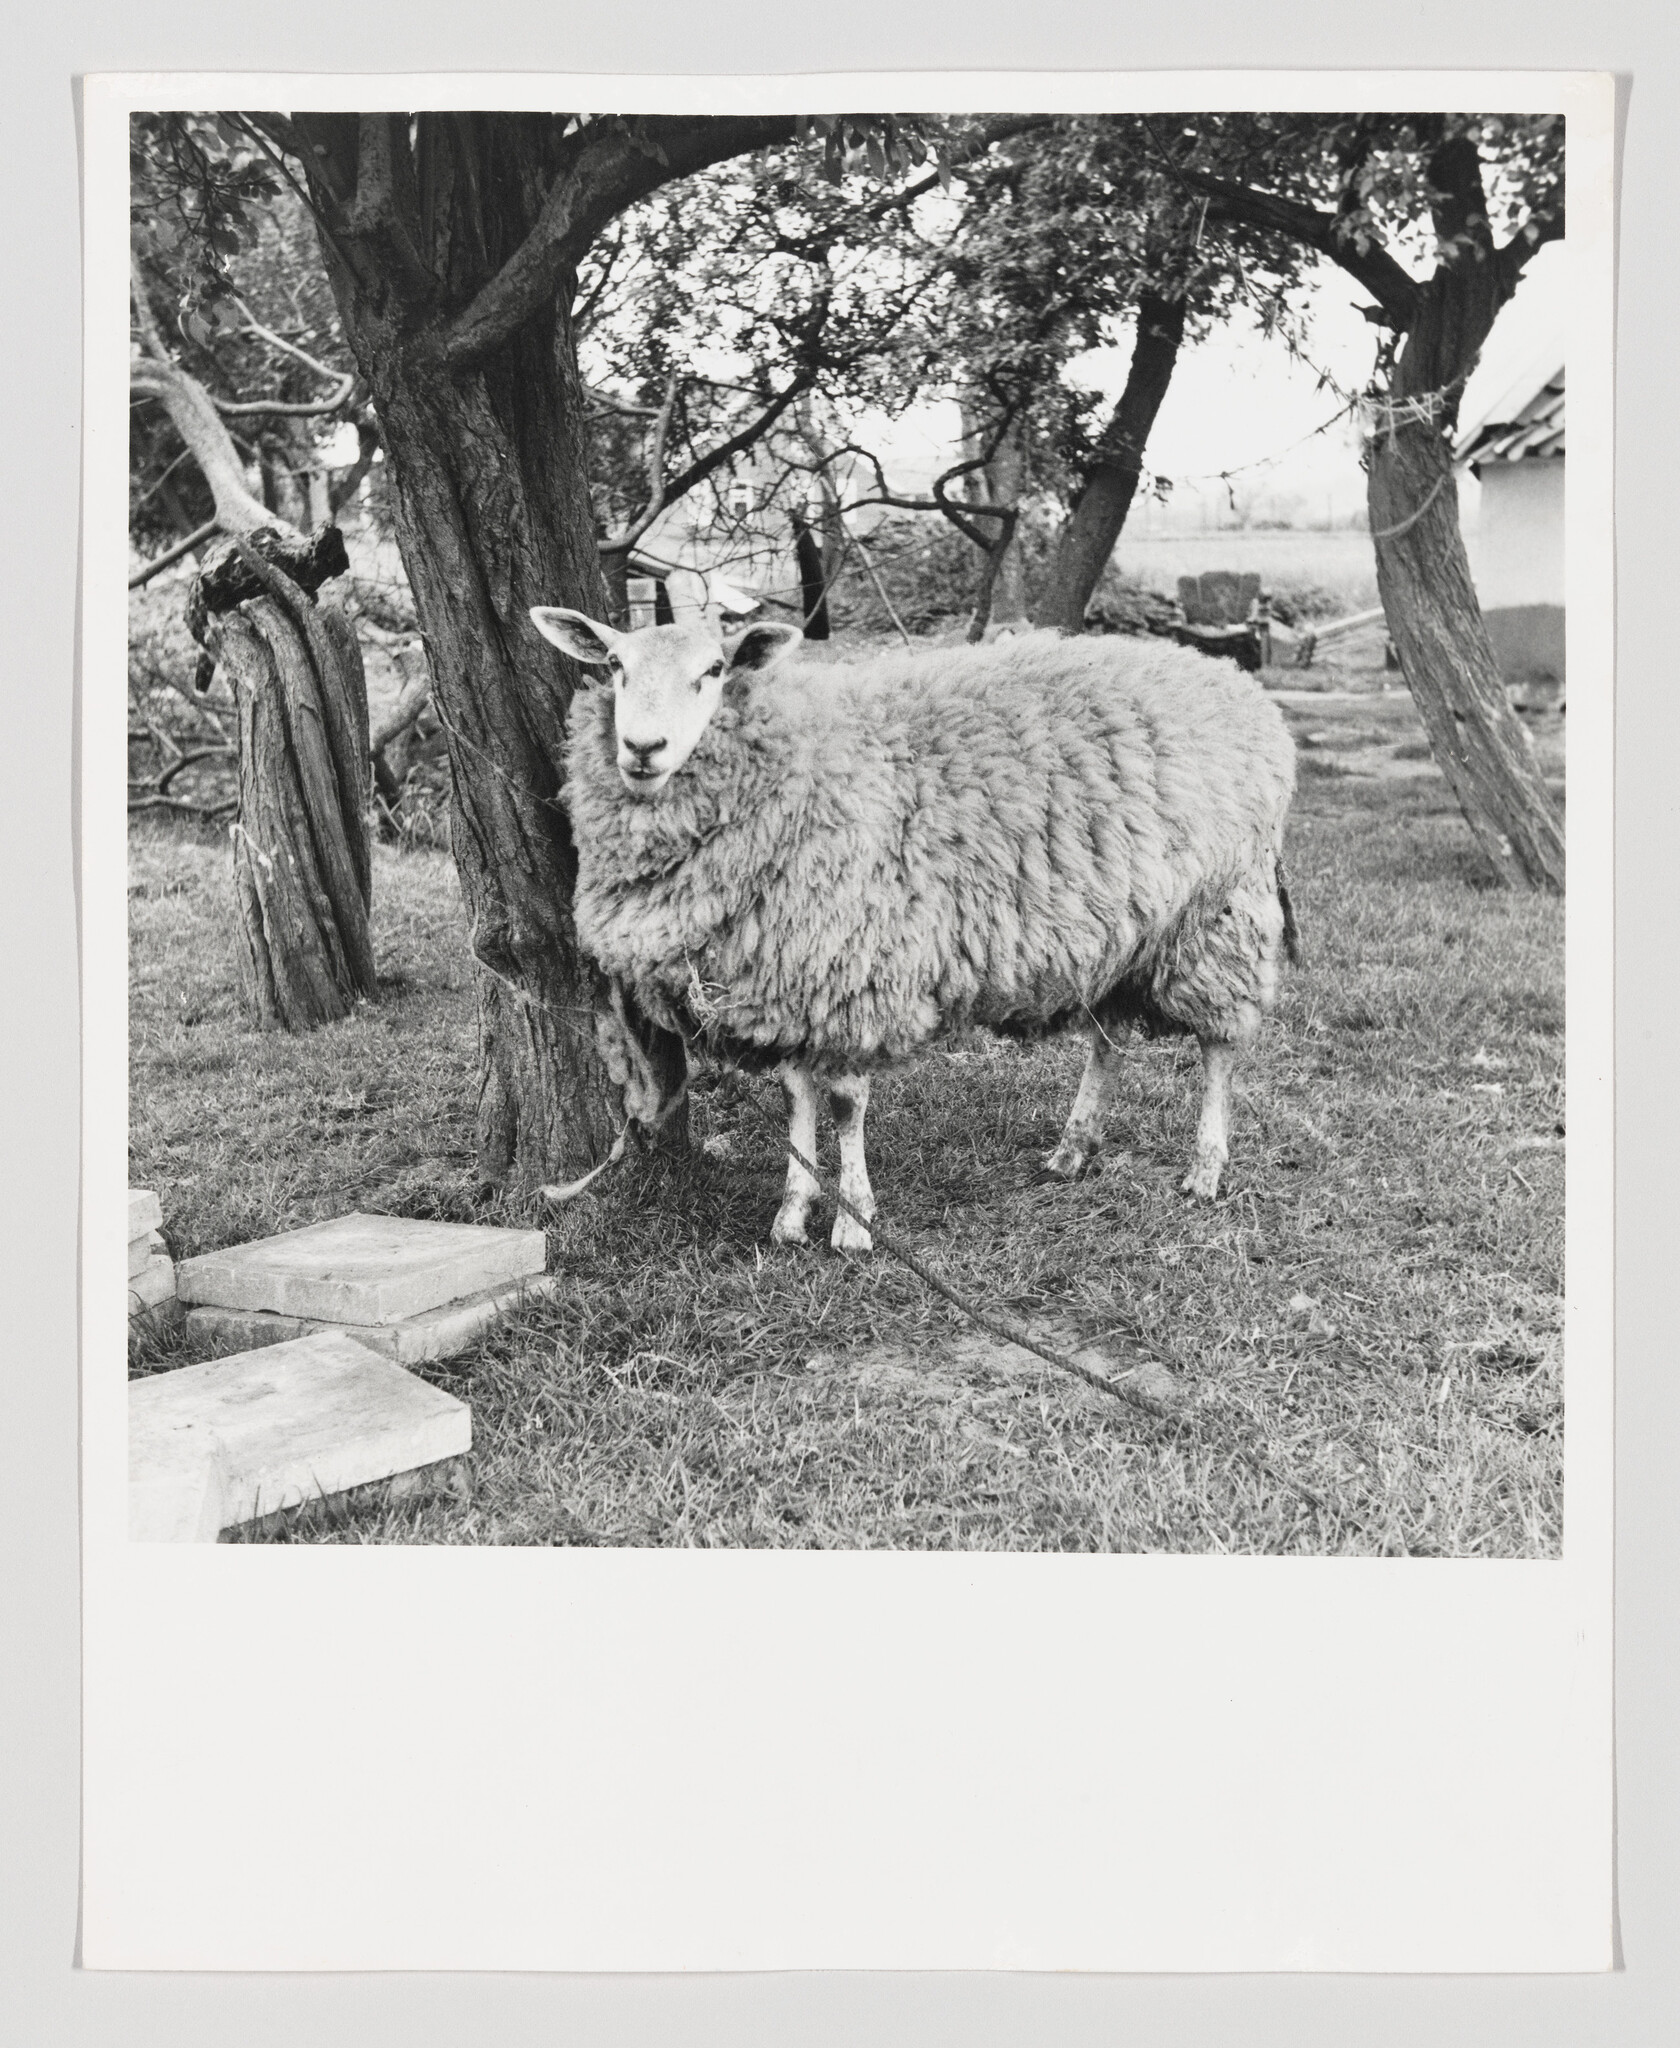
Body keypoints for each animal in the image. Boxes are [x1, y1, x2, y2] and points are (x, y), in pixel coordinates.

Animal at [531, 604, 1300, 1251]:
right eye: (615, 665)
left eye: (715, 671)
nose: (643, 748)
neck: (797, 763)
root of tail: (1234, 681)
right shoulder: (791, 977)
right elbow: (796, 1096)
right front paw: (791, 1214)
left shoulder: (851, 970)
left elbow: (846, 1104)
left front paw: (853, 1223)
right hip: (1122, 934)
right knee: (1109, 1040)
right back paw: (1073, 1148)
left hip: (1218, 917)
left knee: (1220, 1048)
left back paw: (1204, 1168)